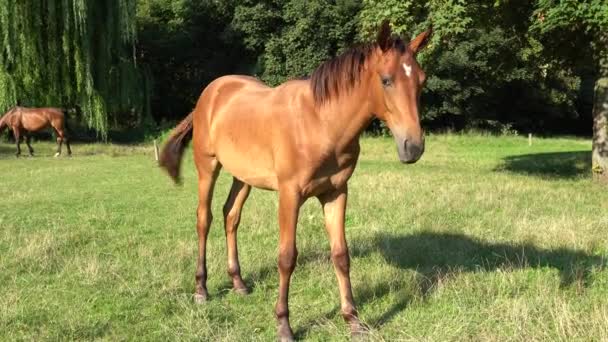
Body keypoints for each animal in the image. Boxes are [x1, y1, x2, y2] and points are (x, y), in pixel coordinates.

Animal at [159, 22, 430, 340]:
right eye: (386, 80)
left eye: (421, 81)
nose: (413, 147)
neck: (321, 123)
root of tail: (210, 93)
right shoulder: (290, 194)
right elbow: (287, 257)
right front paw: (284, 325)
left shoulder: (336, 192)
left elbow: (341, 254)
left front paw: (353, 320)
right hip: (207, 167)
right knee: (204, 219)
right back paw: (201, 289)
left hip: (243, 176)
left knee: (231, 216)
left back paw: (238, 283)